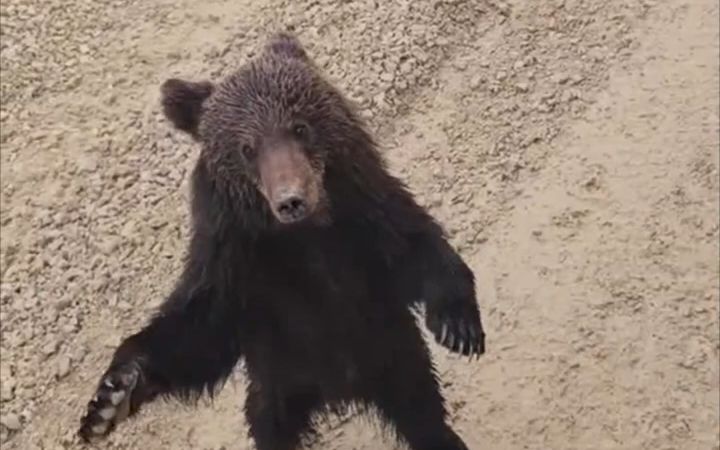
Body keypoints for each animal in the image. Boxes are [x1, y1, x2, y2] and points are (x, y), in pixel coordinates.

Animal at [78, 32, 486, 450]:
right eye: (247, 148)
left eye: (300, 127)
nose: (291, 200)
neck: (306, 235)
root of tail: (341, 392)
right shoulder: (240, 266)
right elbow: (200, 328)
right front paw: (112, 398)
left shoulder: (367, 221)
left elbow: (417, 247)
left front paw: (458, 325)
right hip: (280, 386)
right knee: (271, 425)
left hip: (391, 357)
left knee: (421, 410)